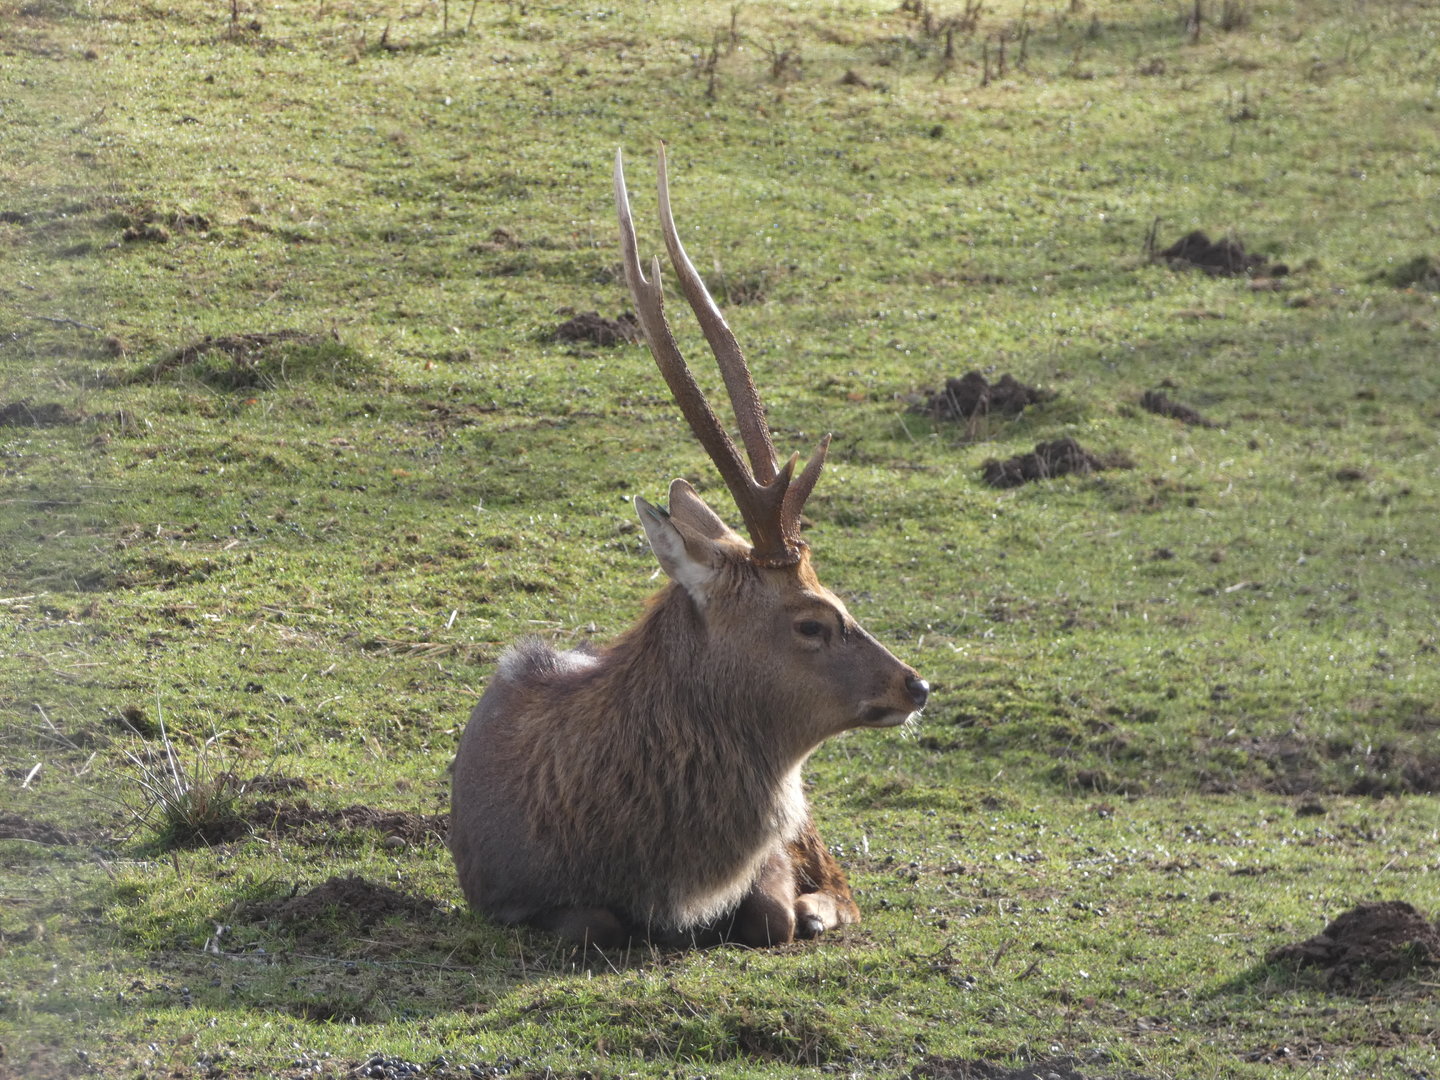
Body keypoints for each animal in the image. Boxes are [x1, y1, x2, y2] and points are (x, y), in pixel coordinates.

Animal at [448, 146, 929, 949]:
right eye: (813, 620)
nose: (915, 685)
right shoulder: (506, 897)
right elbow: (591, 925)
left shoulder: (774, 853)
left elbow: (771, 914)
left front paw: (800, 912)